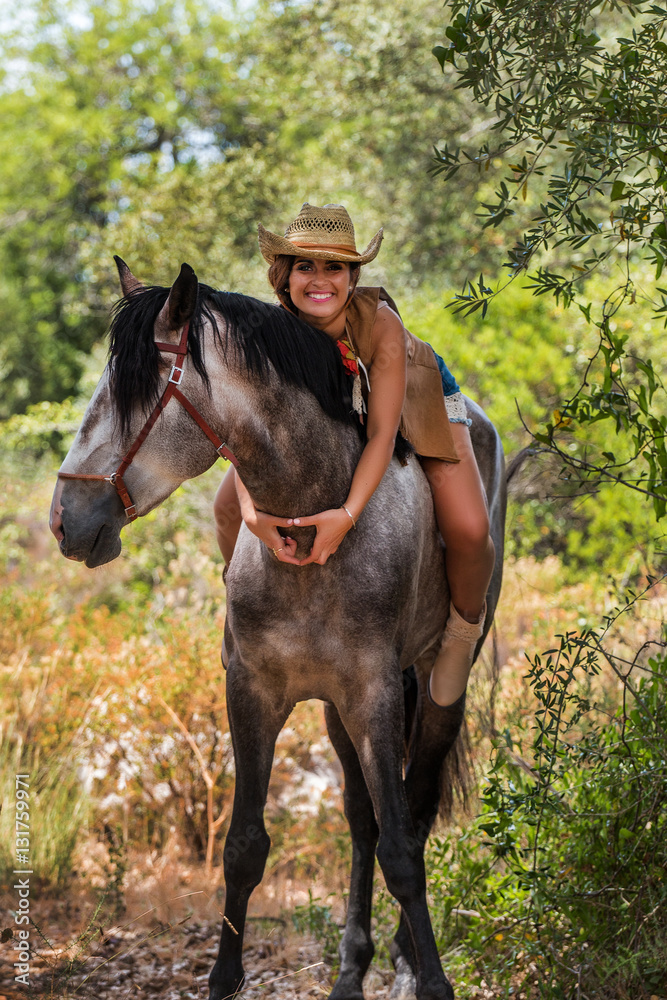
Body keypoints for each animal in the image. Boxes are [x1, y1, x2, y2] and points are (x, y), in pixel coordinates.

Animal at [51, 260, 506, 1000]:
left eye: (132, 396)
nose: (64, 518)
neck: (310, 519)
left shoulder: (375, 694)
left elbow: (403, 853)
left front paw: (434, 980)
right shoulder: (254, 693)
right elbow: (244, 847)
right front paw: (223, 978)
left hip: (437, 688)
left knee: (415, 808)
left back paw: (406, 960)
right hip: (335, 713)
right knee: (361, 818)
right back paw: (352, 971)